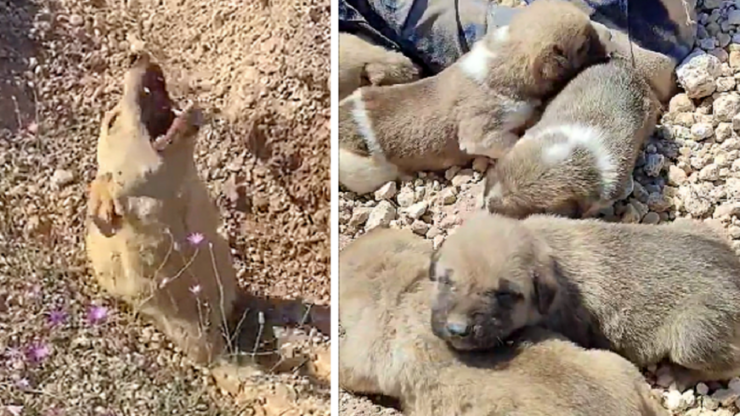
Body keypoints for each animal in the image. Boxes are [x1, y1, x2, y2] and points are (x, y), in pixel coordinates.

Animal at [336, 0, 612, 194]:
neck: (502, 58)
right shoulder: (480, 134)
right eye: (584, 45)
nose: (610, 34)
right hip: (364, 171)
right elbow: (511, 141)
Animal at [430, 213, 740, 386]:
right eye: (446, 281)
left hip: (693, 337)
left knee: (729, 363)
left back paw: (680, 376)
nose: (457, 330)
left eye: (504, 294)